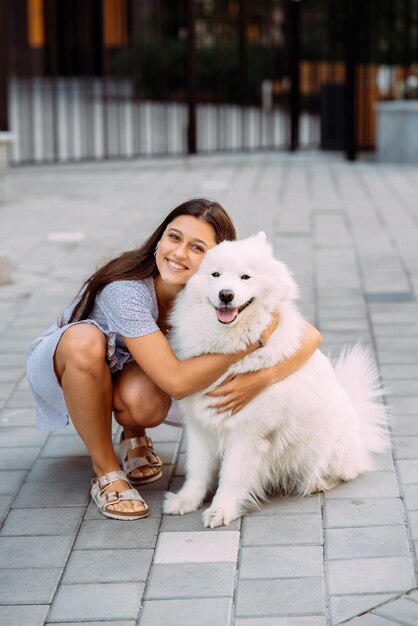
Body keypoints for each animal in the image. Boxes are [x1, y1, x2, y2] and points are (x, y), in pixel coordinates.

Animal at [162, 232, 390, 524]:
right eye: (215, 274)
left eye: (245, 277)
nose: (226, 295)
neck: (229, 351)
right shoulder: (200, 425)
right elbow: (197, 470)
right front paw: (187, 500)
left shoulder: (247, 432)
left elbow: (232, 477)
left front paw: (221, 509)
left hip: (322, 443)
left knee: (340, 472)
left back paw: (317, 482)